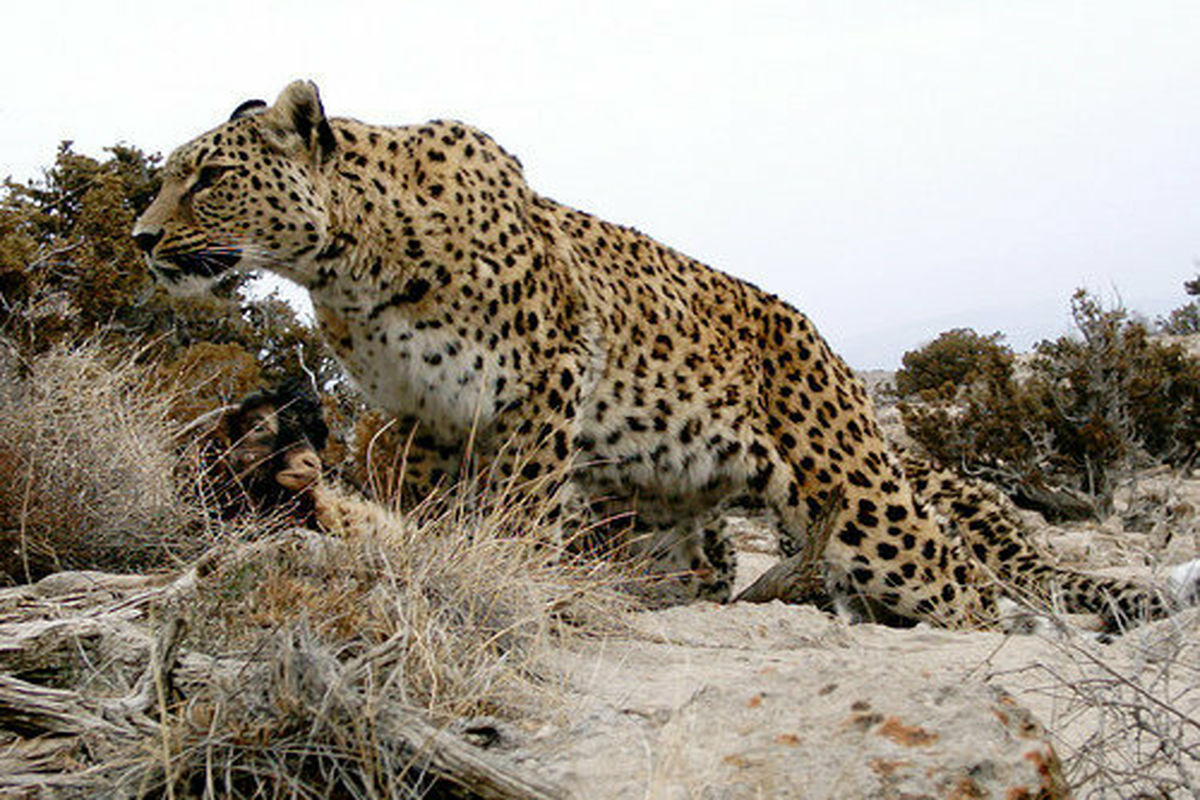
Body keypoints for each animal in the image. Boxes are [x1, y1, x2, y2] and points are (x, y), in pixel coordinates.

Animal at [133, 81, 1171, 633]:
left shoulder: (545, 377)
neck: (351, 263)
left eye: (210, 177)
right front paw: (425, 560)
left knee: (958, 576)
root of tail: (827, 347)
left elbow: (516, 505)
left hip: (860, 501)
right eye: (169, 176)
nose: (142, 238)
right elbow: (422, 504)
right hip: (664, 510)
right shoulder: (419, 413)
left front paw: (499, 574)